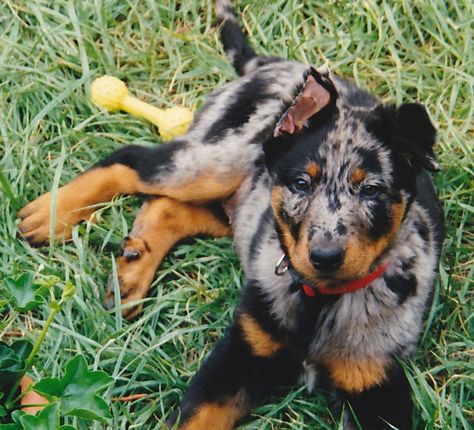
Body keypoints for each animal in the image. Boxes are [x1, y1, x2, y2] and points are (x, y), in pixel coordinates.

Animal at [18, 1, 444, 428]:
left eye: (371, 190)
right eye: (301, 184)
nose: (324, 257)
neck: (319, 302)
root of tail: (272, 63)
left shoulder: (377, 385)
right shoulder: (240, 352)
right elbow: (195, 418)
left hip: (236, 206)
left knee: (168, 207)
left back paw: (131, 271)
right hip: (215, 161)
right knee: (132, 159)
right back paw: (51, 214)